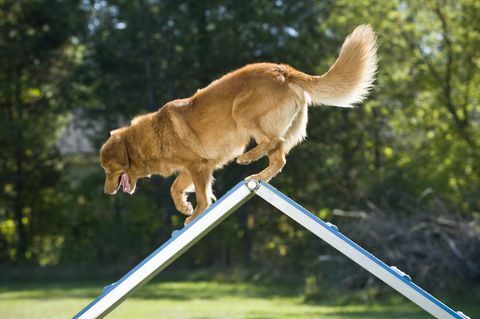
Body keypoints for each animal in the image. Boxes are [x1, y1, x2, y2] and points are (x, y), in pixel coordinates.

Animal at [99, 24, 378, 225]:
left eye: (107, 169)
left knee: (272, 141)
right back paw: (257, 176)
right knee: (279, 158)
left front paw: (195, 213)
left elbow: (201, 196)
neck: (149, 138)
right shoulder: (195, 166)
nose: (106, 192)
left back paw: (247, 158)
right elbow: (175, 188)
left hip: (242, 112)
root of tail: (284, 71)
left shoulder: (198, 166)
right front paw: (185, 207)